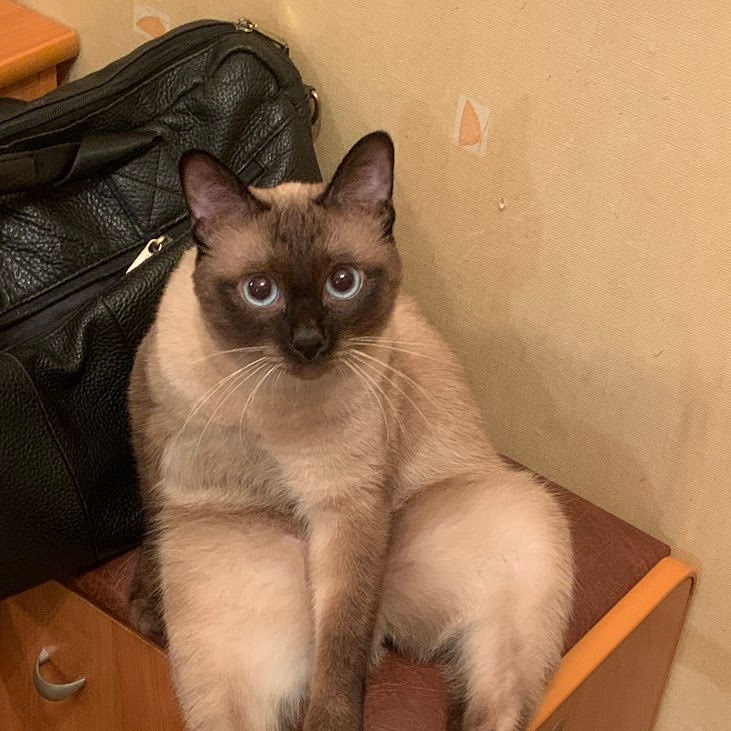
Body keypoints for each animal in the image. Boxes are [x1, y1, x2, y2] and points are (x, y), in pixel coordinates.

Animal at [127, 131, 574, 731]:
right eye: (259, 290)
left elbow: (340, 641)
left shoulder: (348, 505)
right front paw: (144, 606)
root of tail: (385, 632)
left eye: (343, 283)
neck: (272, 403)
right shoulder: (150, 428)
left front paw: (331, 722)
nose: (310, 343)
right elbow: (151, 516)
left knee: (477, 698)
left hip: (520, 520)